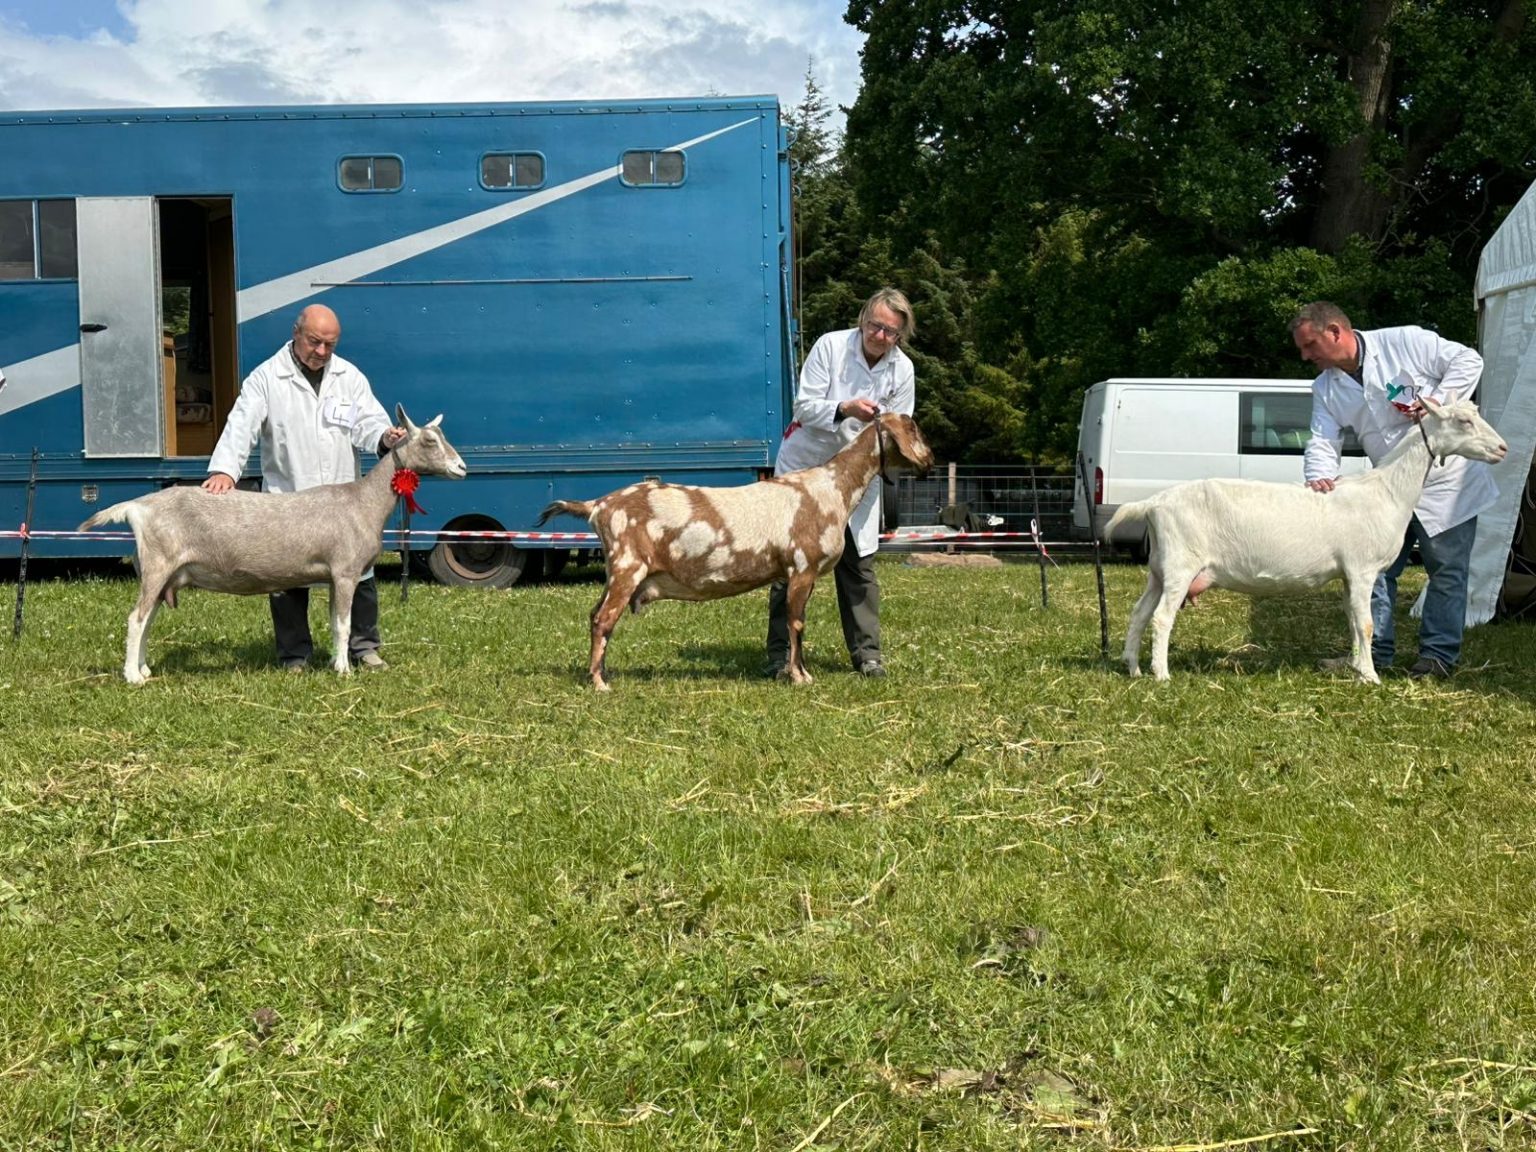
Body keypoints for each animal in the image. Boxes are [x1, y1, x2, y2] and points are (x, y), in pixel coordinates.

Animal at [79, 405, 467, 683]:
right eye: (429, 442)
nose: (461, 468)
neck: (362, 502)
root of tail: (138, 507)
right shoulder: (345, 571)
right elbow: (343, 624)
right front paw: (343, 670)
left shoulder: (333, 576)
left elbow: (332, 622)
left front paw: (334, 663)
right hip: (158, 565)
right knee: (136, 619)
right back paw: (132, 677)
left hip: (163, 575)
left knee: (147, 619)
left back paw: (144, 669)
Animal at [538, 413, 934, 690]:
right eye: (913, 428)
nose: (930, 459)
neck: (832, 489)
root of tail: (597, 506)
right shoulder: (802, 569)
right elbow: (796, 623)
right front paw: (800, 676)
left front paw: (794, 673)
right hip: (628, 566)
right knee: (603, 619)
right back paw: (599, 682)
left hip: (616, 571)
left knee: (595, 615)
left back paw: (601, 673)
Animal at [1107, 396, 1507, 682]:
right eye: (1464, 421)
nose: (1503, 449)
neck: (1388, 491)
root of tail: (1155, 503)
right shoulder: (1362, 568)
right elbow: (1366, 623)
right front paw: (1371, 677)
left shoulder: (1348, 574)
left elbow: (1353, 621)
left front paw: (1357, 667)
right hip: (1180, 565)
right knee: (1161, 618)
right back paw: (1161, 675)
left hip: (1159, 569)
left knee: (1139, 613)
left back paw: (1134, 668)